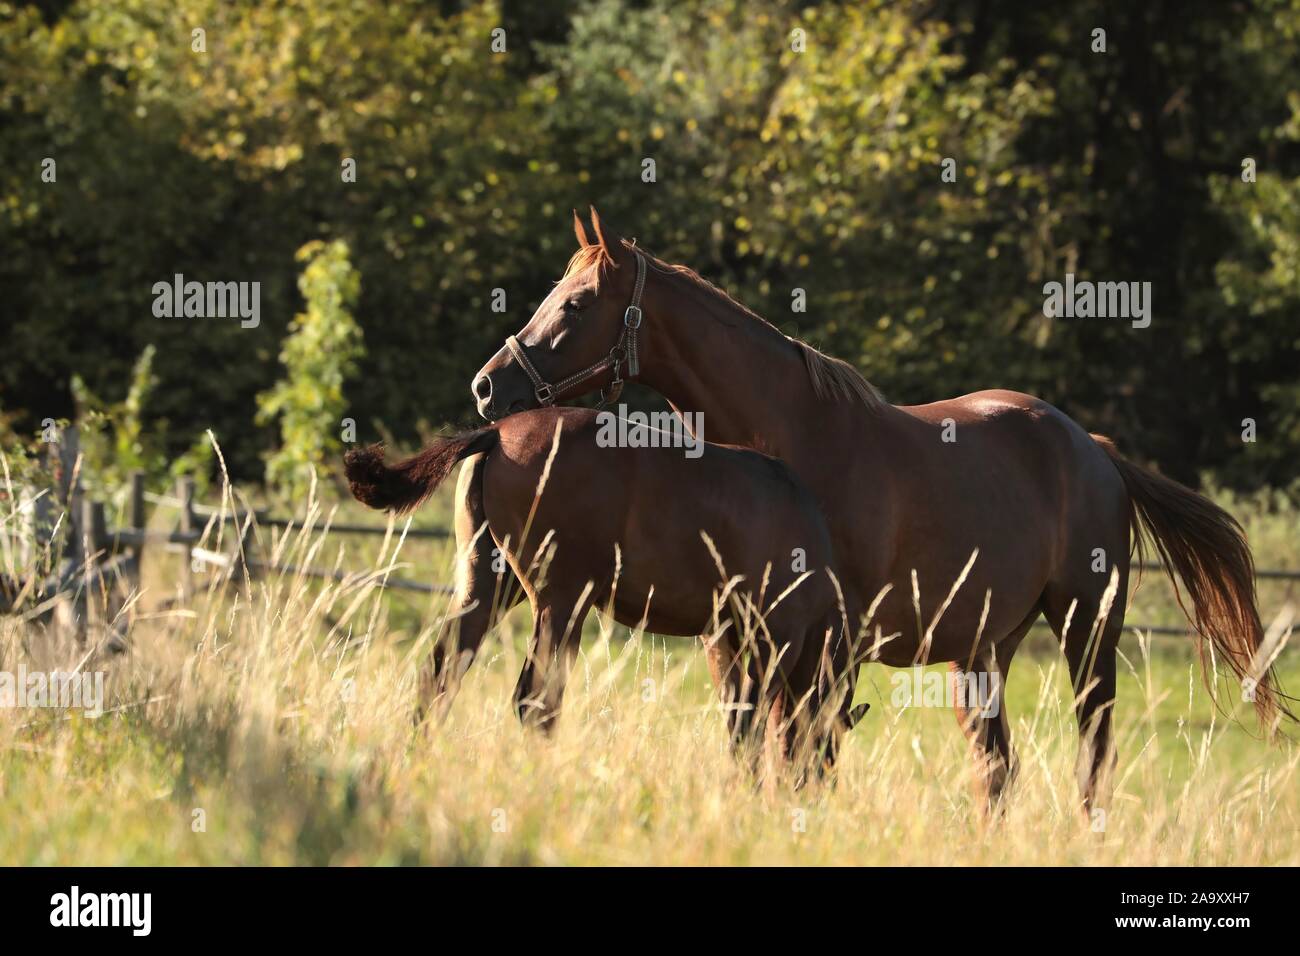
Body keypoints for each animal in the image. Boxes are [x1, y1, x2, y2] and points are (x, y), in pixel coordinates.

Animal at [344, 405, 868, 775]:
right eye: (832, 746)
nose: (813, 791)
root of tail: (496, 433)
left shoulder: (729, 638)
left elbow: (740, 720)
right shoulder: (774, 638)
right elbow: (751, 722)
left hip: (486, 587)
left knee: (439, 676)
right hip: (561, 603)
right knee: (535, 702)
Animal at [458, 207, 1292, 811]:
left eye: (576, 305)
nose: (487, 386)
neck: (793, 443)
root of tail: (1094, 449)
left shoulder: (828, 647)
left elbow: (804, 759)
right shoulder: (740, 638)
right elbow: (755, 748)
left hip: (1088, 630)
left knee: (1092, 754)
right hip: (983, 650)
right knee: (998, 769)